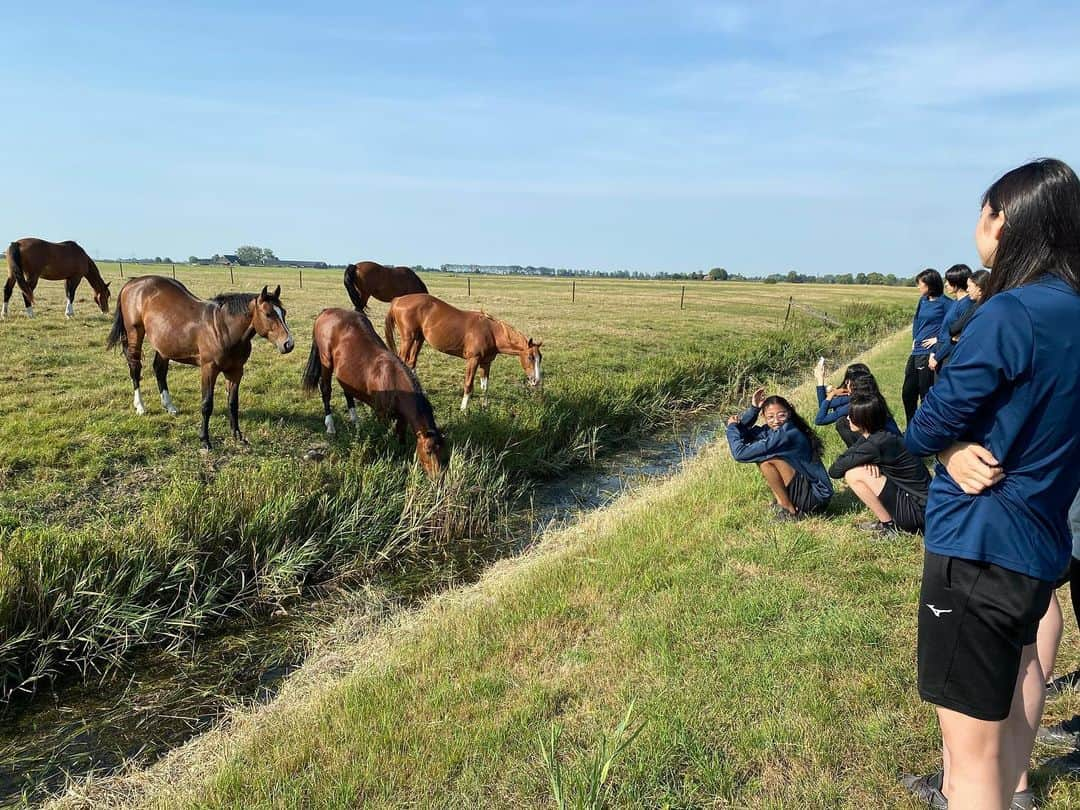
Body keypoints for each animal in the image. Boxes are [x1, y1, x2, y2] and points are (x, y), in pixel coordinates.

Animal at [105, 278, 295, 451]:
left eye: (284, 312)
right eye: (268, 314)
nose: (288, 344)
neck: (223, 328)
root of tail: (132, 283)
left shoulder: (235, 371)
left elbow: (233, 403)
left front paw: (238, 436)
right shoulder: (208, 369)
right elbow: (206, 404)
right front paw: (205, 441)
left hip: (164, 344)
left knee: (159, 370)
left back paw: (169, 406)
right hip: (134, 334)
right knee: (135, 369)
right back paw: (140, 406)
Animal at [300, 308, 447, 475]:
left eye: (444, 451)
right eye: (428, 451)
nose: (439, 477)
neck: (391, 379)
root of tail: (326, 311)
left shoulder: (402, 417)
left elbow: (401, 436)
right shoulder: (381, 415)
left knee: (347, 391)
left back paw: (356, 422)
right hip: (326, 362)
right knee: (326, 391)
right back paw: (330, 426)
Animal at [384, 293, 544, 412]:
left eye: (540, 358)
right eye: (530, 357)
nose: (536, 381)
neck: (491, 332)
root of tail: (398, 300)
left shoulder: (486, 363)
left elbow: (485, 386)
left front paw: (484, 407)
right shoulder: (473, 360)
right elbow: (468, 385)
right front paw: (463, 409)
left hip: (419, 339)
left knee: (411, 363)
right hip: (408, 339)